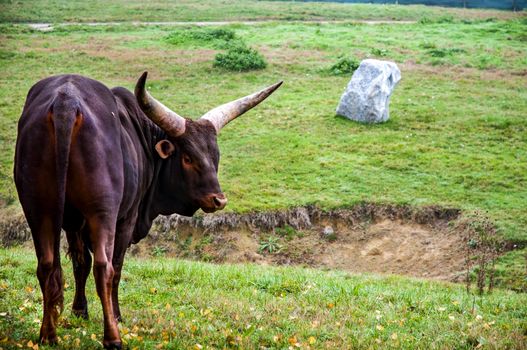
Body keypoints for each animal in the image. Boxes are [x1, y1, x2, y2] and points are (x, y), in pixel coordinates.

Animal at [14, 72, 282, 348]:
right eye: (188, 157)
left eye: (215, 156)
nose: (218, 200)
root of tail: (65, 102)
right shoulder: (127, 218)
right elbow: (115, 266)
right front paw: (116, 315)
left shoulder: (73, 223)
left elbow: (80, 263)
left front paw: (80, 311)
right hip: (103, 212)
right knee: (104, 268)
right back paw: (113, 337)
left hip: (39, 210)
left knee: (47, 265)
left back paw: (48, 334)